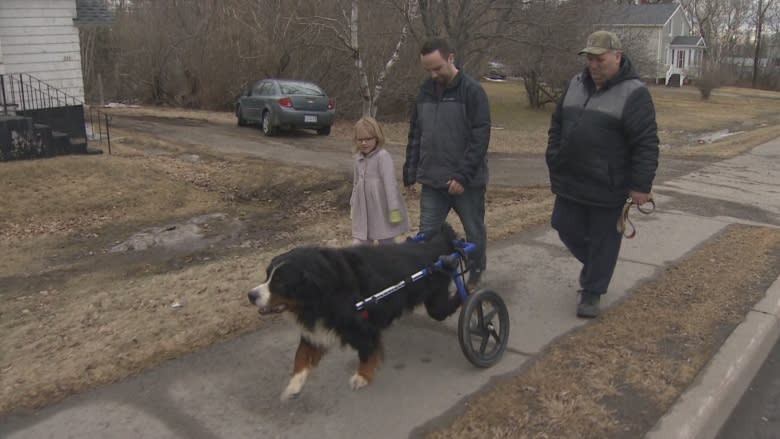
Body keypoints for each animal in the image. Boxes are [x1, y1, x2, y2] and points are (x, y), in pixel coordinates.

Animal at [247, 223, 460, 402]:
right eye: (267, 275)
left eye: (280, 282)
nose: (251, 295)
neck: (322, 290)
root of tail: (434, 246)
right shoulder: (317, 326)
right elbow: (301, 355)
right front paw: (293, 386)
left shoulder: (361, 325)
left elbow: (367, 351)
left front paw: (362, 377)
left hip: (436, 304)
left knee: (449, 306)